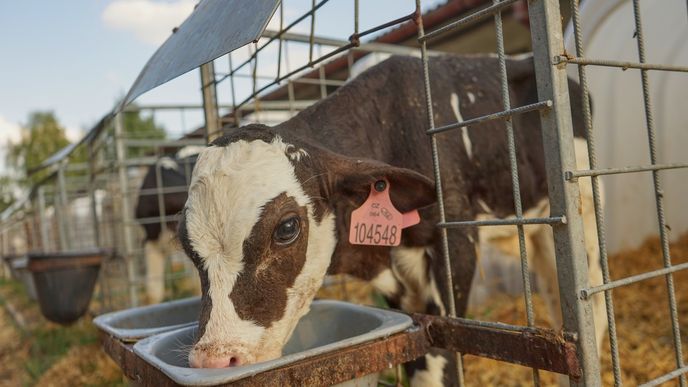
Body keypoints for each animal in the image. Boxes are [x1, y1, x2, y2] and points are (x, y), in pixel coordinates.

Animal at [179, 53, 608, 384]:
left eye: (286, 228)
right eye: (186, 246)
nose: (214, 359)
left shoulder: (455, 244)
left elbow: (442, 355)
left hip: (585, 206)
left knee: (595, 304)